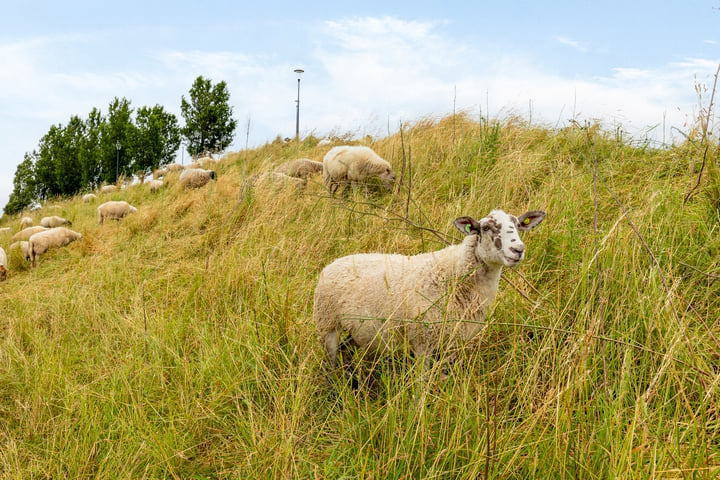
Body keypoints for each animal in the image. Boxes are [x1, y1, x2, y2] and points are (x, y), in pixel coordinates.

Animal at [316, 210, 544, 382]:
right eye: (486, 228)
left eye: (517, 225)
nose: (518, 249)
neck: (454, 274)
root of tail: (333, 263)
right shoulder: (422, 340)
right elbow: (421, 381)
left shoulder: (452, 341)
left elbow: (443, 376)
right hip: (327, 324)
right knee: (330, 361)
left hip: (357, 330)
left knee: (346, 351)